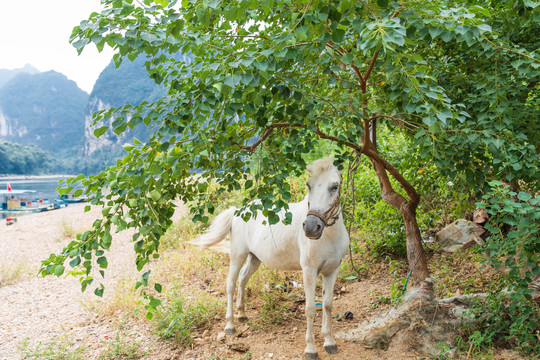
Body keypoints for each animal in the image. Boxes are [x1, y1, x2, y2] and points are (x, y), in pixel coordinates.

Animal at [192, 158, 348, 360]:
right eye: (309, 185)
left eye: (334, 186)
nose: (311, 228)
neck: (330, 237)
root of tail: (238, 211)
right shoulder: (309, 271)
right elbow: (310, 308)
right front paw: (311, 349)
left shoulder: (332, 271)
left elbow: (328, 305)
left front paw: (329, 342)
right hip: (237, 255)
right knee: (231, 284)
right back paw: (230, 325)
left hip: (254, 258)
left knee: (243, 279)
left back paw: (242, 315)